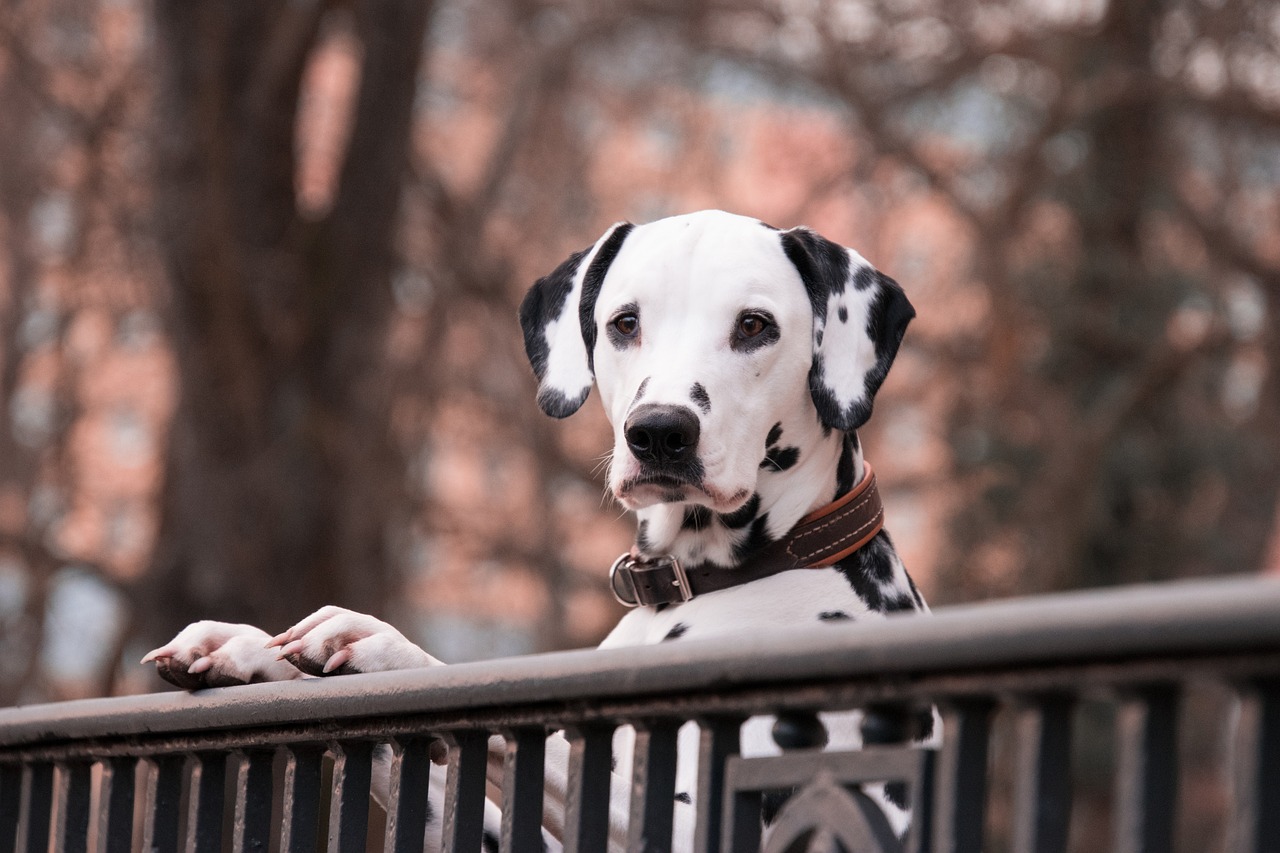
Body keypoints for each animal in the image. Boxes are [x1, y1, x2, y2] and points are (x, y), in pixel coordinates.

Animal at [145, 208, 926, 845]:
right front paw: (250, 648)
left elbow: (529, 731)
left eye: (755, 325)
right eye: (624, 322)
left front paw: (382, 645)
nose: (659, 432)